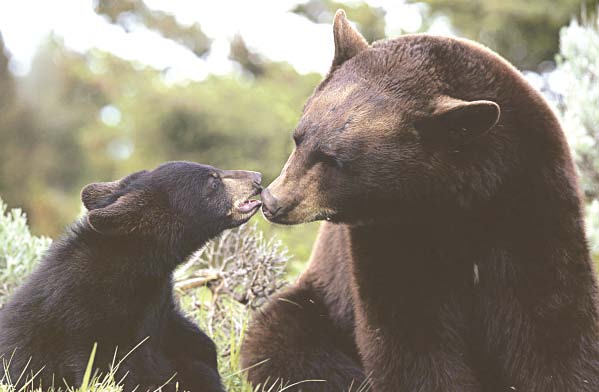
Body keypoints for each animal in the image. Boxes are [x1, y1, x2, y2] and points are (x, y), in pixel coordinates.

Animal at [241, 8, 599, 392]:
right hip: (319, 303)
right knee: (283, 340)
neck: (451, 201)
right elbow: (411, 331)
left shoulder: (529, 195)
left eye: (335, 159)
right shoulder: (390, 233)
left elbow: (549, 320)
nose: (274, 201)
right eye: (299, 138)